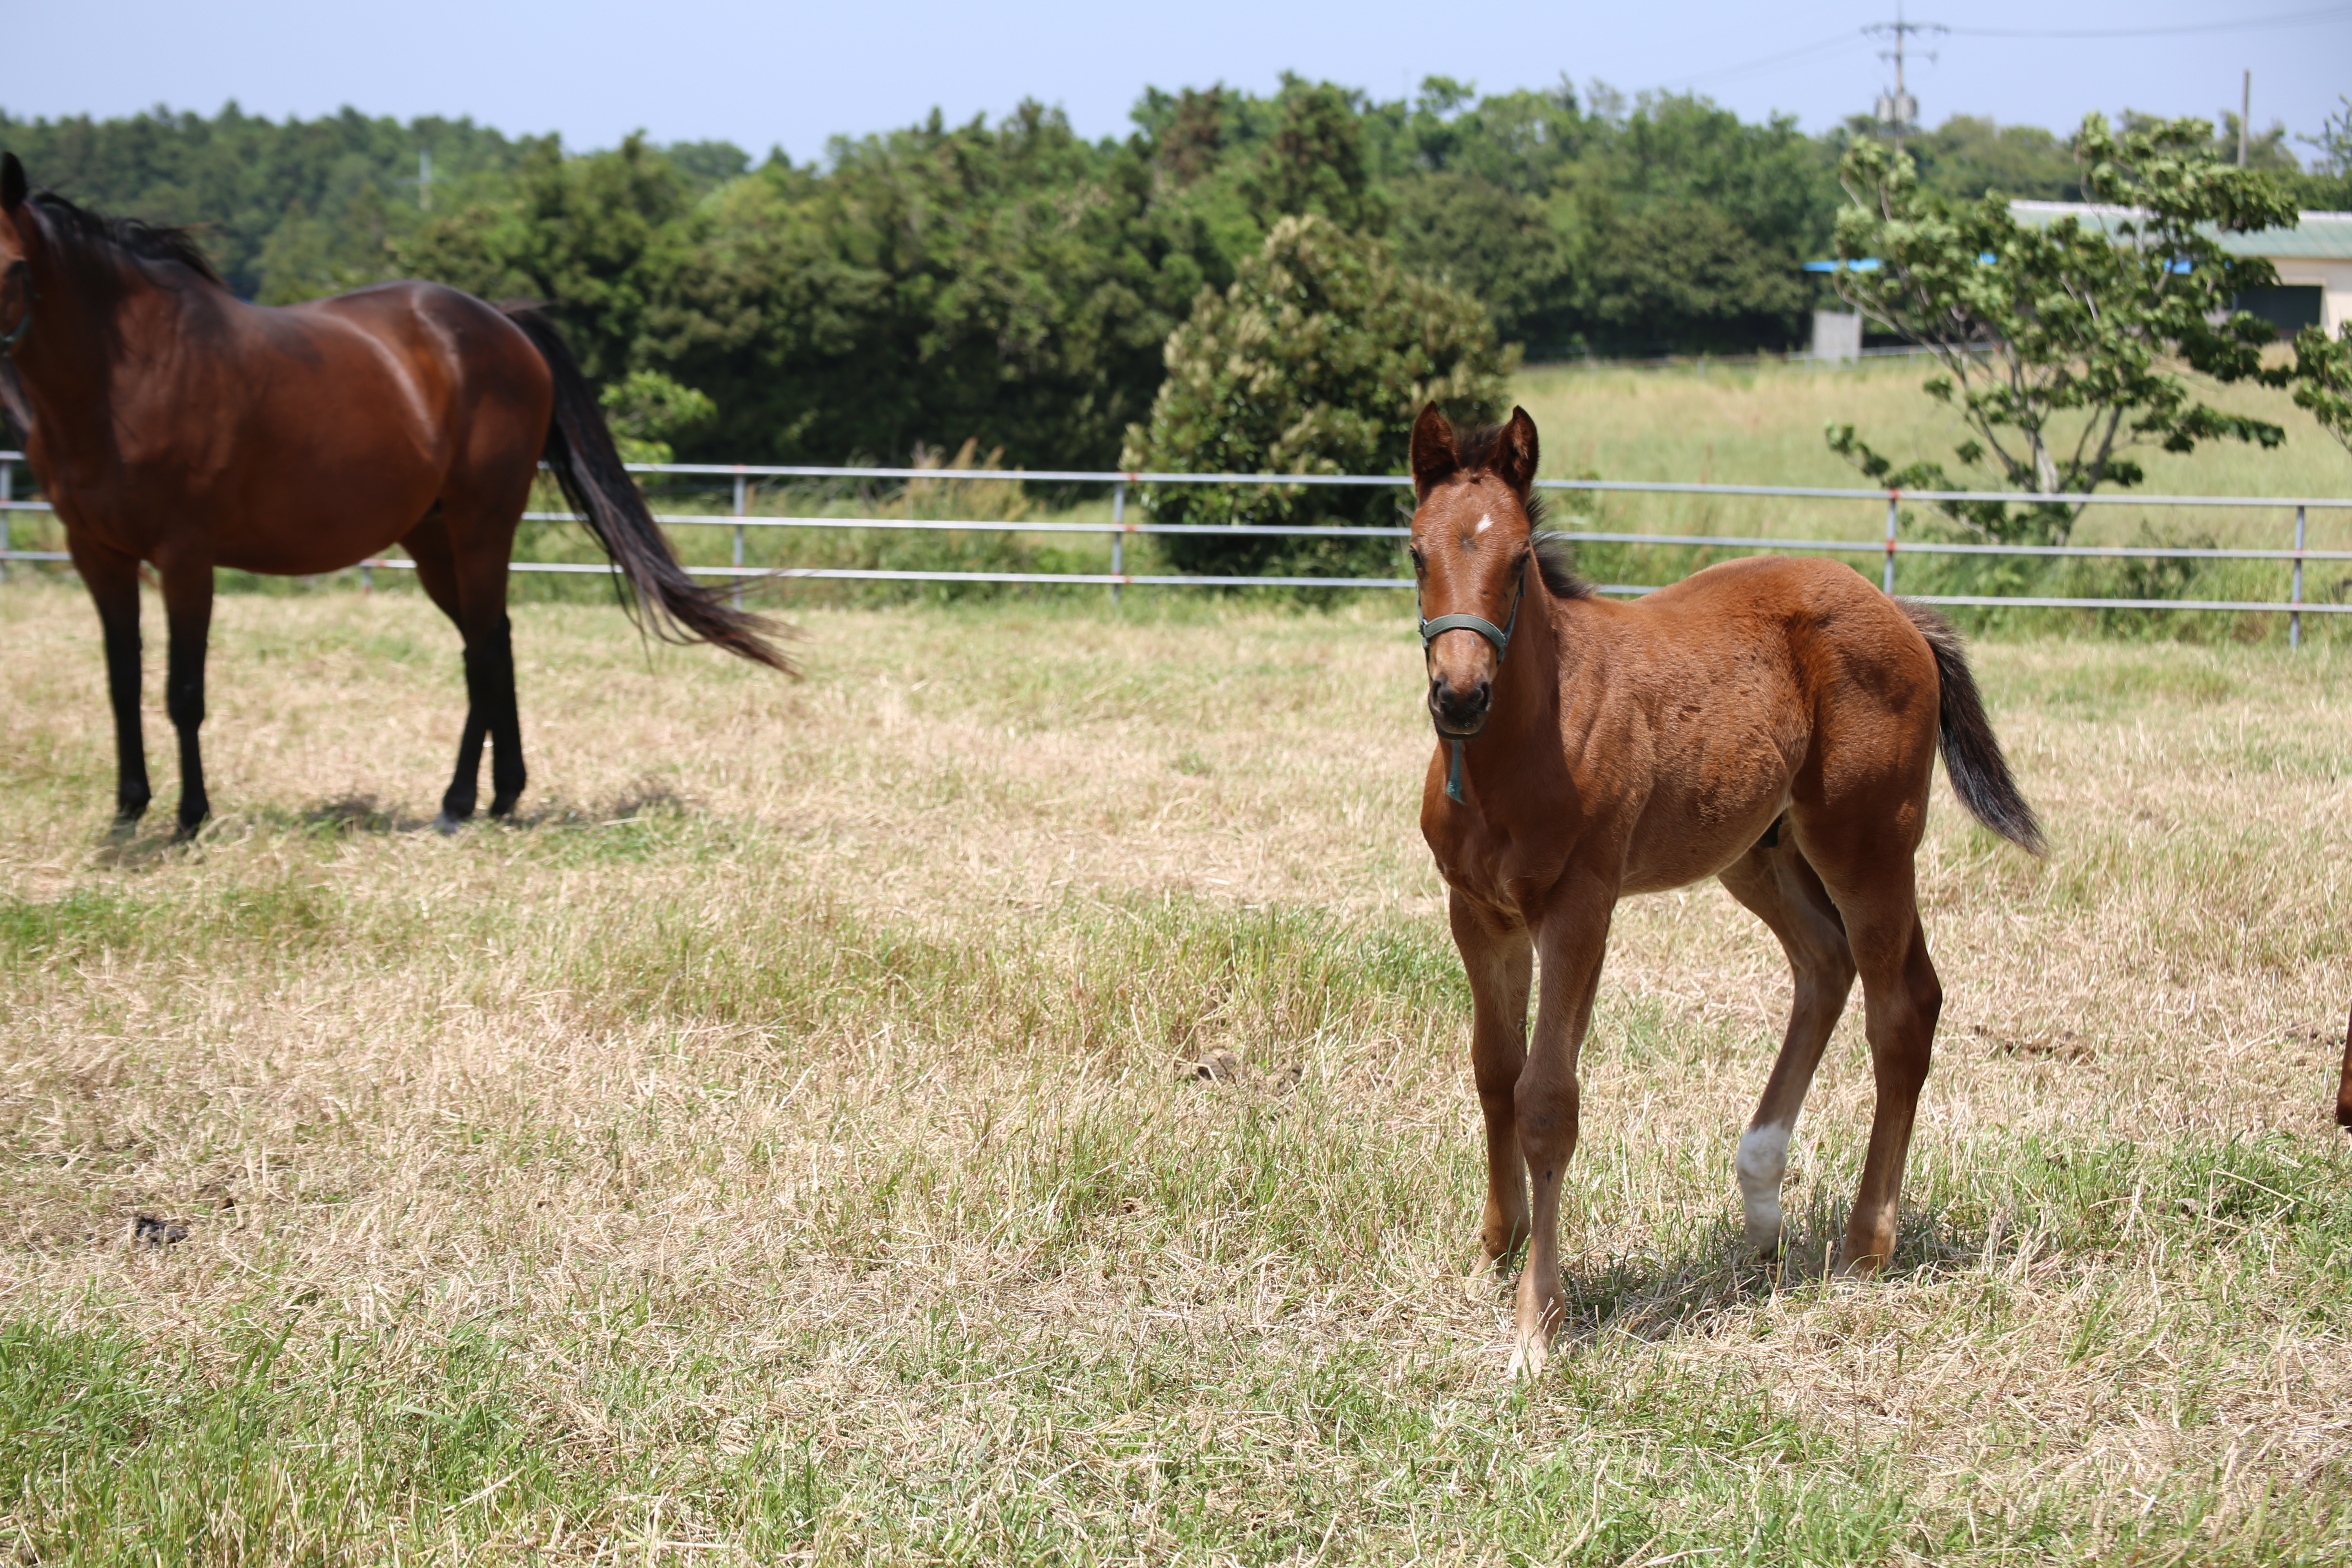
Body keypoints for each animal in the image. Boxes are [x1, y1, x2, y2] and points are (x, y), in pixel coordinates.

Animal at [0, 157, 790, 842]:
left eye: (12, 267)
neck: (130, 374)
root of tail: (504, 324)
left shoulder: (186, 558)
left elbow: (182, 692)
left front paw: (190, 820)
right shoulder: (97, 555)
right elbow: (121, 683)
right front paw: (128, 815)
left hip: (480, 526)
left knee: (482, 650)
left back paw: (459, 803)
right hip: (432, 540)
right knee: (493, 639)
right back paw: (503, 795)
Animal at [1401, 402, 2051, 1373]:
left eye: (1517, 561)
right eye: (1416, 551)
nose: (1460, 696)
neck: (1520, 748)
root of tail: (1895, 610)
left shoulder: (1581, 907)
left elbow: (1547, 1098)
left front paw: (1536, 1324)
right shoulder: (1478, 911)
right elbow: (1493, 1072)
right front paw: (1497, 1249)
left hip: (1867, 843)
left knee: (1904, 1003)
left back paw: (1866, 1246)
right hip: (1760, 853)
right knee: (1825, 966)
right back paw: (1761, 1202)